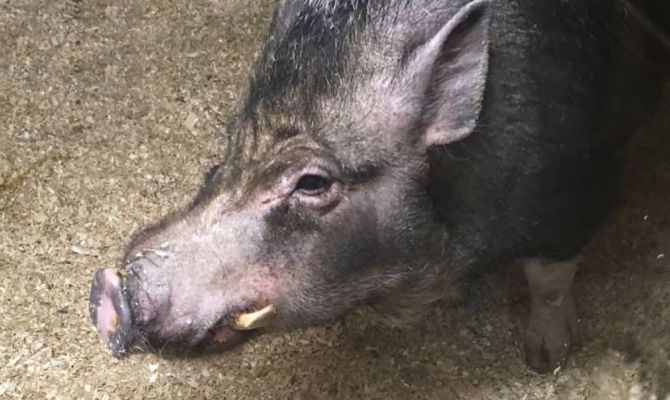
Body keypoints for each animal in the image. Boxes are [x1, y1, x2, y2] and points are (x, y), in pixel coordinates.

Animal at [89, 0, 669, 372]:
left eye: (312, 181)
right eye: (231, 144)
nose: (110, 287)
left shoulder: (575, 194)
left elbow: (548, 283)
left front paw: (544, 362)